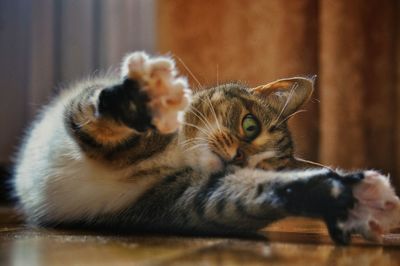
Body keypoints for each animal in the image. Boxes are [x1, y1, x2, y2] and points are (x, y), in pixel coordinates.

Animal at [11, 51, 396, 244]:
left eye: (262, 166)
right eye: (250, 126)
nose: (239, 156)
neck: (176, 154)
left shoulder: (178, 201)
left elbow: (233, 199)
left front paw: (350, 197)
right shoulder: (83, 112)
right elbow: (104, 119)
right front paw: (149, 100)